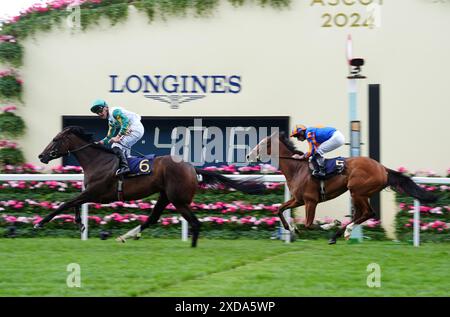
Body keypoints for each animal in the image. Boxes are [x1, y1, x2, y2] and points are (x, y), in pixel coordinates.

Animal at [37, 126, 268, 247]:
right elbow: (73, 204)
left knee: (194, 223)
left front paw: (40, 223)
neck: (98, 160)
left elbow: (66, 203)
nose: (41, 156)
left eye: (55, 140)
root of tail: (192, 168)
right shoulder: (90, 193)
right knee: (153, 218)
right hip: (166, 196)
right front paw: (80, 224)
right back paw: (126, 236)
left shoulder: (96, 193)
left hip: (178, 200)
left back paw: (192, 247)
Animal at [248, 130, 438, 242]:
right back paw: (339, 234)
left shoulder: (311, 201)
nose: (249, 155)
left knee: (368, 213)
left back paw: (343, 231)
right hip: (360, 193)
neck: (297, 168)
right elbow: (280, 209)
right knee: (362, 214)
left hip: (357, 191)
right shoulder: (298, 199)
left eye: (263, 144)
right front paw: (291, 228)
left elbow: (309, 224)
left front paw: (328, 225)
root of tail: (382, 168)